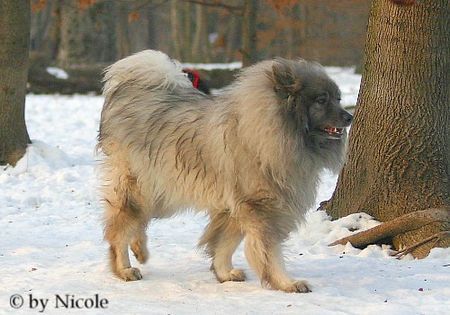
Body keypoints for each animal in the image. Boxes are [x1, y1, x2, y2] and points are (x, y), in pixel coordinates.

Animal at [97, 49, 352, 294]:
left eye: (338, 99)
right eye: (322, 100)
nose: (349, 116)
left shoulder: (234, 208)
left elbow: (224, 245)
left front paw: (224, 273)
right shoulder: (261, 209)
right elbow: (269, 253)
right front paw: (286, 282)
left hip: (159, 190)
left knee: (139, 220)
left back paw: (140, 250)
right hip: (141, 186)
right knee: (119, 229)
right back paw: (124, 268)